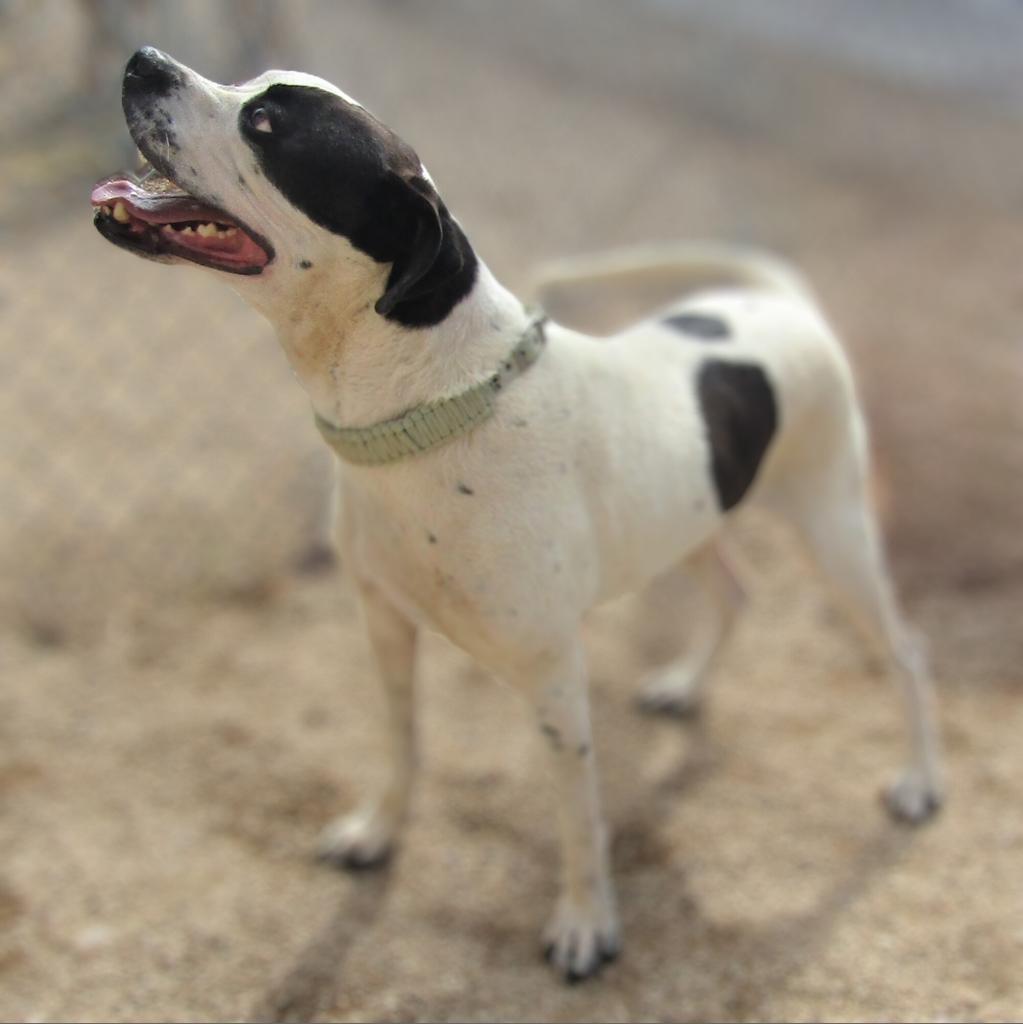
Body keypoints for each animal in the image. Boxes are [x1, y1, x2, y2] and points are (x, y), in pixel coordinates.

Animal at [94, 48, 942, 983]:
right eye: (252, 86)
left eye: (267, 125)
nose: (142, 60)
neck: (432, 408)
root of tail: (780, 303)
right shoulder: (383, 624)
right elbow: (402, 742)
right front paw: (377, 832)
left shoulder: (553, 677)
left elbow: (578, 817)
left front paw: (586, 925)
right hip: (685, 519)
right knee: (732, 591)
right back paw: (684, 685)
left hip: (834, 533)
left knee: (904, 652)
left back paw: (916, 783)